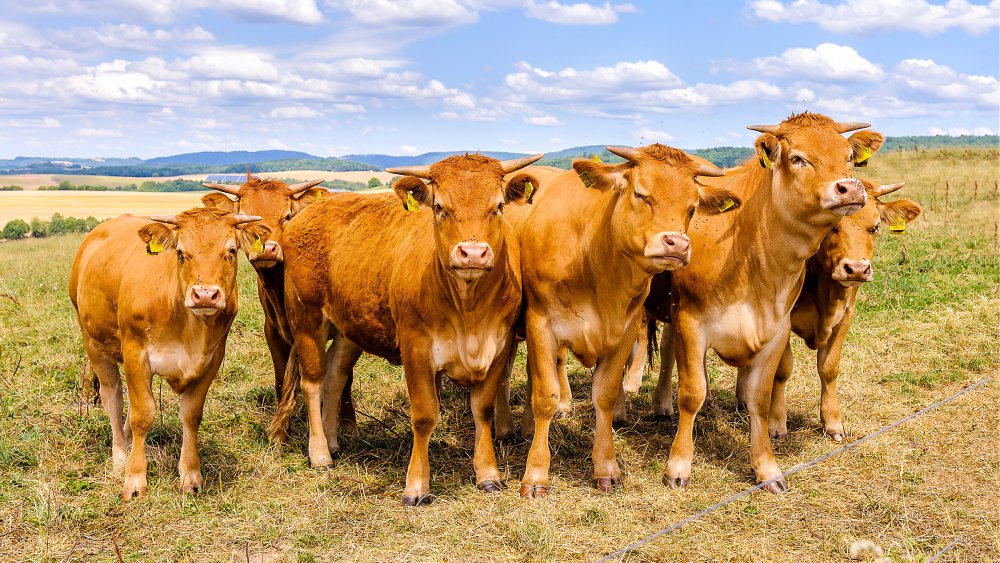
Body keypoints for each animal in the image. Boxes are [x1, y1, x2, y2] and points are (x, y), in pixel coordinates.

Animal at [68, 196, 268, 500]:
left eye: (231, 250)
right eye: (181, 253)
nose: (205, 295)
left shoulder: (211, 360)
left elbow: (191, 415)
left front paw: (191, 475)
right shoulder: (136, 353)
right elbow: (142, 415)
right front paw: (134, 479)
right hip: (94, 344)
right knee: (113, 397)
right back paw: (120, 457)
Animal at [278, 152, 544, 504]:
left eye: (498, 206)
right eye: (440, 207)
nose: (473, 253)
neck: (469, 311)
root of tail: (314, 208)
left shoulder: (498, 347)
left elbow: (482, 410)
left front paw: (488, 474)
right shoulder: (416, 350)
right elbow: (424, 415)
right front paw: (417, 486)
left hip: (349, 327)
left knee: (335, 377)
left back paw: (334, 443)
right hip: (306, 319)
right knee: (313, 382)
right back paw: (320, 453)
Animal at [512, 145, 740, 498]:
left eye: (692, 208)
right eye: (640, 194)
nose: (677, 244)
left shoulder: (625, 330)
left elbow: (605, 396)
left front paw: (606, 467)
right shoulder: (541, 326)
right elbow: (545, 397)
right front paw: (536, 473)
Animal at [644, 111, 880, 494]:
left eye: (848, 156)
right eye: (797, 158)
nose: (850, 187)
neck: (749, 252)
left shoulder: (775, 330)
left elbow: (761, 397)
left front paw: (767, 469)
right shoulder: (690, 321)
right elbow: (692, 393)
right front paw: (678, 466)